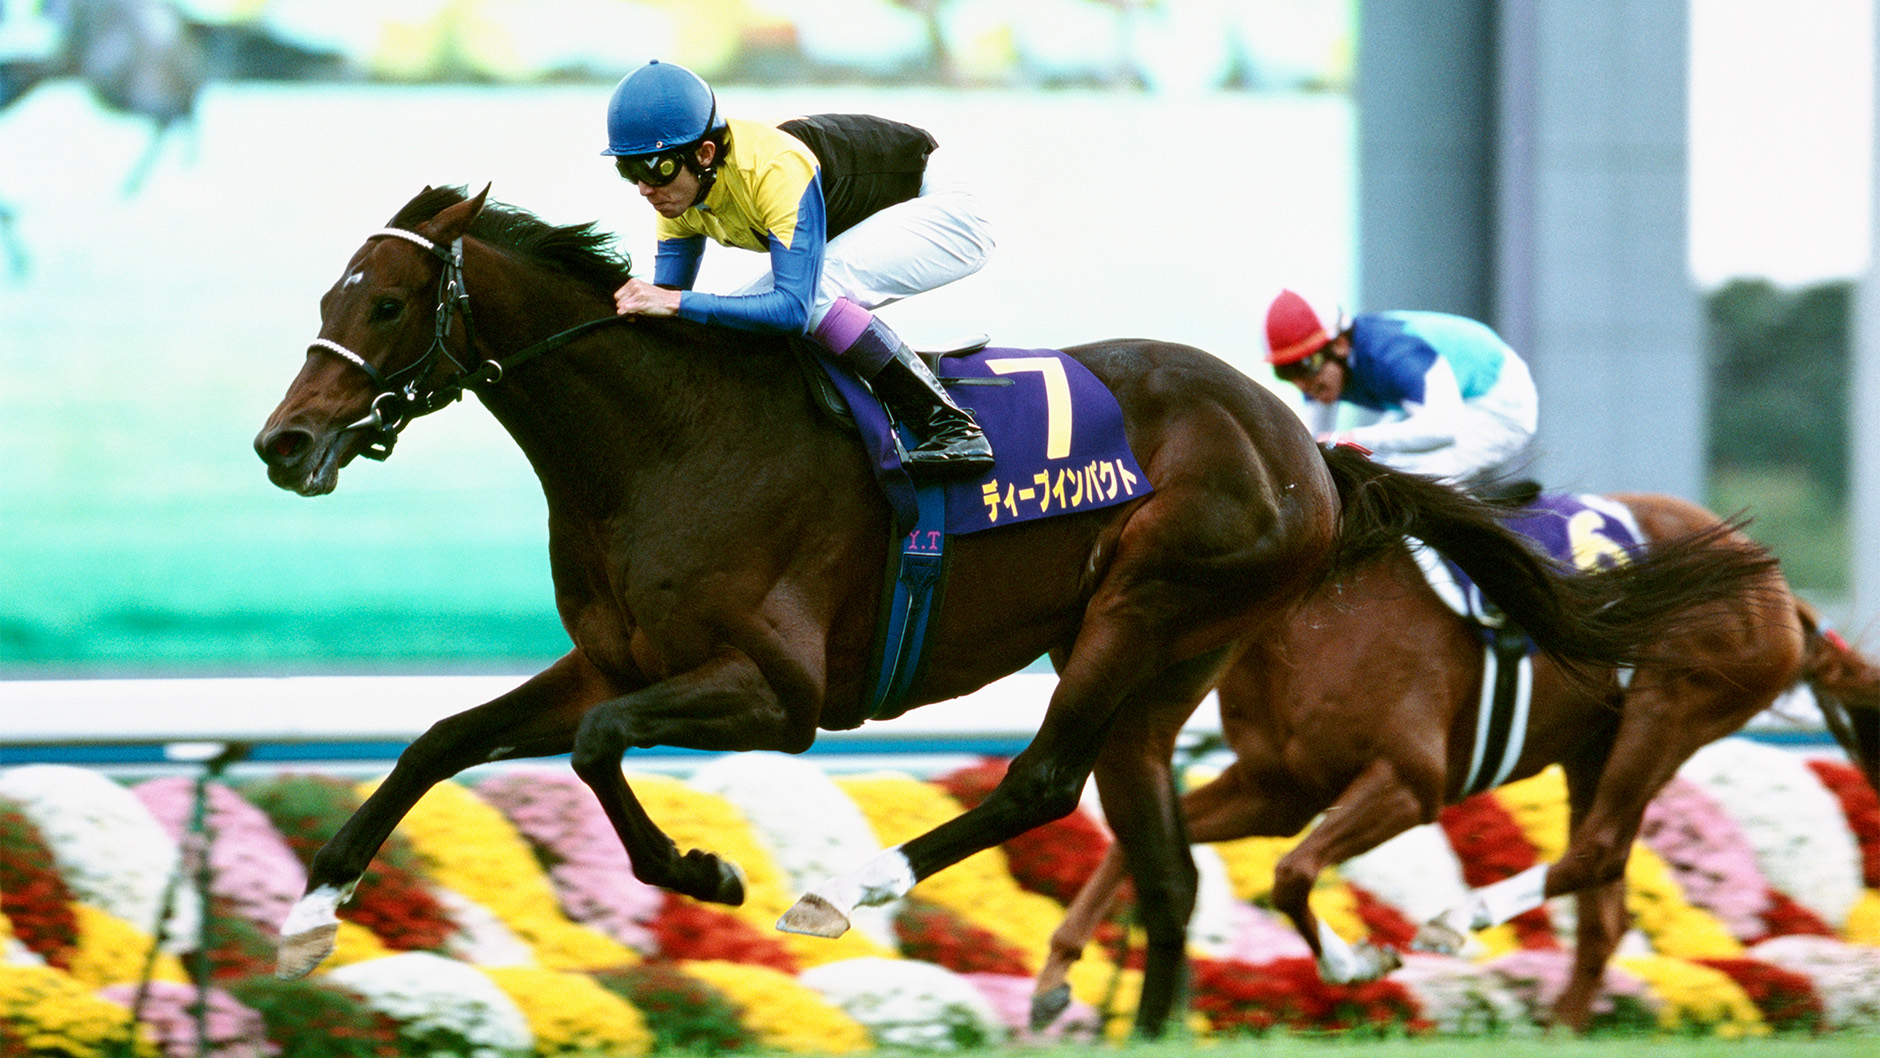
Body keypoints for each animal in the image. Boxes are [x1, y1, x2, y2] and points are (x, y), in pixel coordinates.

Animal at [252, 185, 1778, 1037]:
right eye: (329, 290)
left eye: (386, 302)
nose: (282, 443)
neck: (664, 439)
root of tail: (1299, 443)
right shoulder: (608, 655)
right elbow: (446, 737)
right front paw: (312, 912)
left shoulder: (780, 694)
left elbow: (597, 748)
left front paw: (707, 869)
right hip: (1174, 667)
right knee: (1161, 861)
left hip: (1148, 600)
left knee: (1045, 780)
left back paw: (853, 883)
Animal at [1029, 490, 1880, 1033]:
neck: (1312, 615)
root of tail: (1781, 591)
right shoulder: (1277, 787)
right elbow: (1137, 847)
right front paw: (1055, 977)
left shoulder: (1409, 782)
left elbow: (1292, 874)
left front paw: (1356, 965)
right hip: (1596, 747)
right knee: (1603, 902)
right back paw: (1561, 1028)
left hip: (1669, 709)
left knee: (1599, 850)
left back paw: (1454, 922)